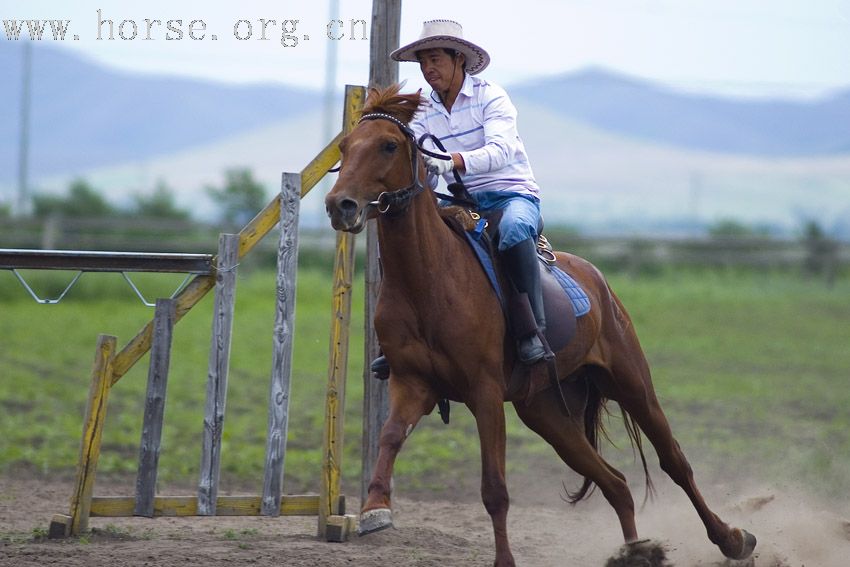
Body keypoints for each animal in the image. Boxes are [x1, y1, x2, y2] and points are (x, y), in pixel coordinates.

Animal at [324, 85, 756, 567]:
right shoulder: (412, 383)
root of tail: (598, 280)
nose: (340, 205)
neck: (429, 280)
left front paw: (504, 560)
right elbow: (390, 438)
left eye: (388, 145)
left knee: (674, 462)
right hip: (549, 415)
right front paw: (375, 506)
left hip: (632, 384)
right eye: (345, 147)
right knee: (616, 483)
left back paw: (732, 539)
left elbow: (495, 490)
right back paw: (635, 551)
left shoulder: (485, 393)